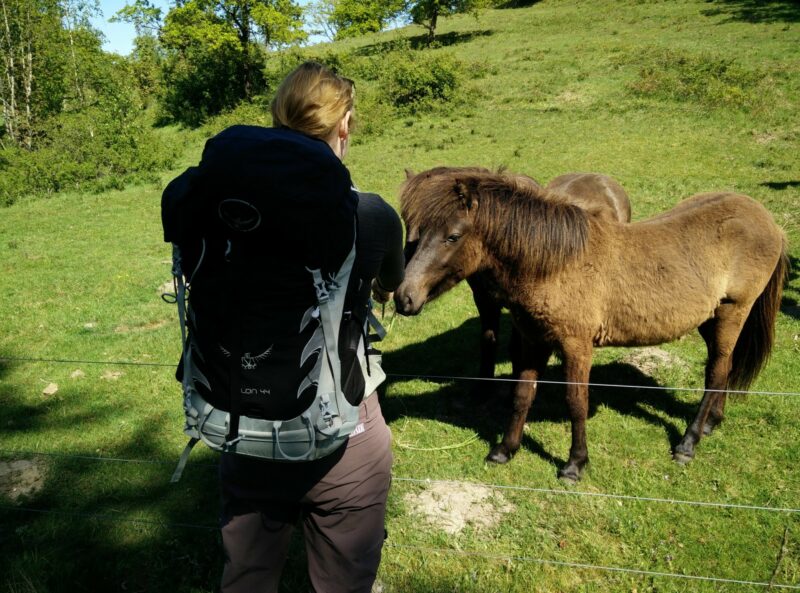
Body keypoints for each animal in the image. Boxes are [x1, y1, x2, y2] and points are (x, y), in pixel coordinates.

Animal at [402, 169, 631, 385]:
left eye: (453, 237)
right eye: (411, 224)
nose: (404, 296)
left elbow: (516, 350)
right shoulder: (485, 301)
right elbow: (488, 342)